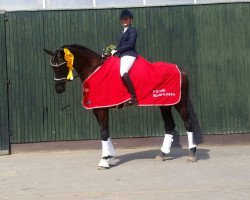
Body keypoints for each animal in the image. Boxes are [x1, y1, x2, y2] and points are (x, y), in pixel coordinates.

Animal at [44, 44, 198, 169]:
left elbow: (103, 132)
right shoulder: (97, 108)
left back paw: (192, 153)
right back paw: (162, 154)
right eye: (52, 67)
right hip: (164, 104)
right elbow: (105, 131)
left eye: (62, 65)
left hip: (179, 103)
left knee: (188, 124)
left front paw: (104, 160)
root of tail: (181, 70)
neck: (94, 70)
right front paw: (110, 155)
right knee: (169, 125)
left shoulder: (102, 108)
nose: (59, 89)